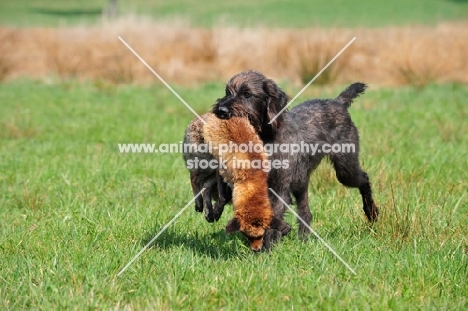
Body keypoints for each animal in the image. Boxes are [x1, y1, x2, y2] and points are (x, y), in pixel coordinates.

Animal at [203, 113, 290, 252]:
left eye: (262, 235)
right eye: (246, 234)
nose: (256, 249)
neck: (252, 178)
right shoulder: (223, 171)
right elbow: (222, 196)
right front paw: (215, 211)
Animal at [214, 70, 378, 240]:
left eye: (247, 94)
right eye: (227, 92)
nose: (221, 110)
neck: (266, 137)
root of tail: (338, 102)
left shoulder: (279, 188)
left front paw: (265, 245)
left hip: (345, 170)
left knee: (364, 178)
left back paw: (371, 212)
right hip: (302, 180)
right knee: (305, 211)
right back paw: (304, 238)